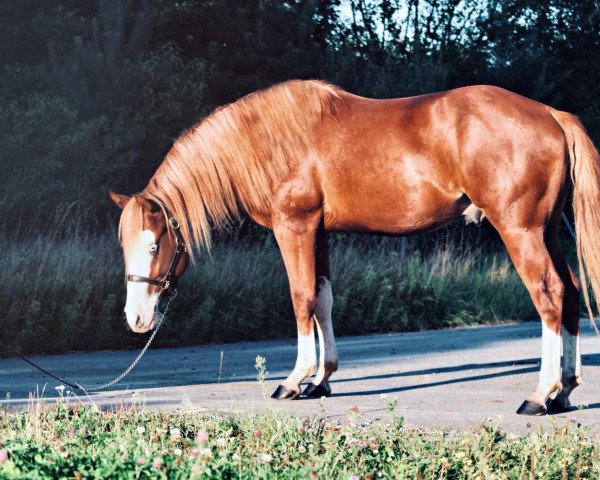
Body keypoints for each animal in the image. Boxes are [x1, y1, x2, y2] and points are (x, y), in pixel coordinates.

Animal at [109, 80, 600, 414]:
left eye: (153, 245)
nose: (136, 319)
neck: (269, 143)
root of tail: (551, 114)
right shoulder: (319, 233)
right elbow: (323, 299)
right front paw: (321, 380)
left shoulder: (295, 228)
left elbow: (301, 299)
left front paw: (294, 380)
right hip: (546, 231)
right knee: (571, 292)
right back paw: (565, 390)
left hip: (521, 231)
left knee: (550, 296)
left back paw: (540, 394)